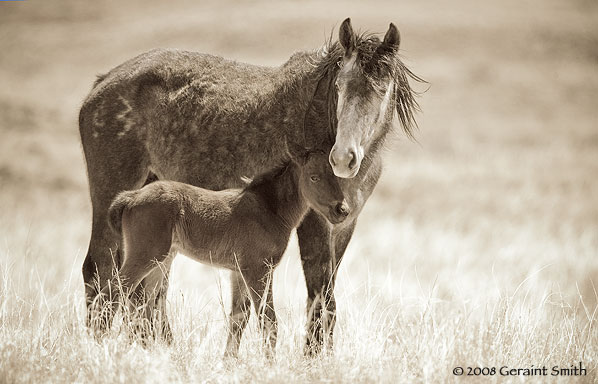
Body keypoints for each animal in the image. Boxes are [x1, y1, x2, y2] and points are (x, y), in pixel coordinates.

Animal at [97, 152, 352, 356]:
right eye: (314, 177)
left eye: (336, 177)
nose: (342, 210)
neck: (268, 209)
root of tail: (131, 197)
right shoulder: (258, 270)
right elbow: (268, 320)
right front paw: (269, 364)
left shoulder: (238, 272)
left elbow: (238, 319)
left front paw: (229, 361)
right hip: (147, 255)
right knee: (116, 290)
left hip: (161, 261)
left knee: (144, 302)